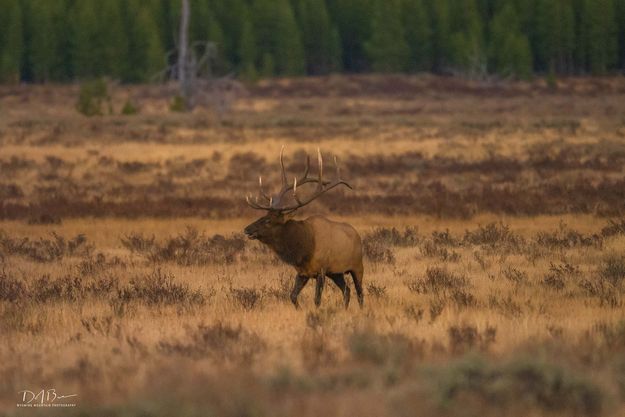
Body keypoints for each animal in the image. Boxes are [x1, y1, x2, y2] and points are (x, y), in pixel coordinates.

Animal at [243, 148, 364, 308]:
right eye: (263, 216)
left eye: (268, 220)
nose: (247, 229)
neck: (303, 250)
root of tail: (358, 235)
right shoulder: (302, 272)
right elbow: (292, 296)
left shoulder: (321, 270)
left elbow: (317, 299)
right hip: (336, 273)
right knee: (347, 290)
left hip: (357, 266)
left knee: (360, 293)